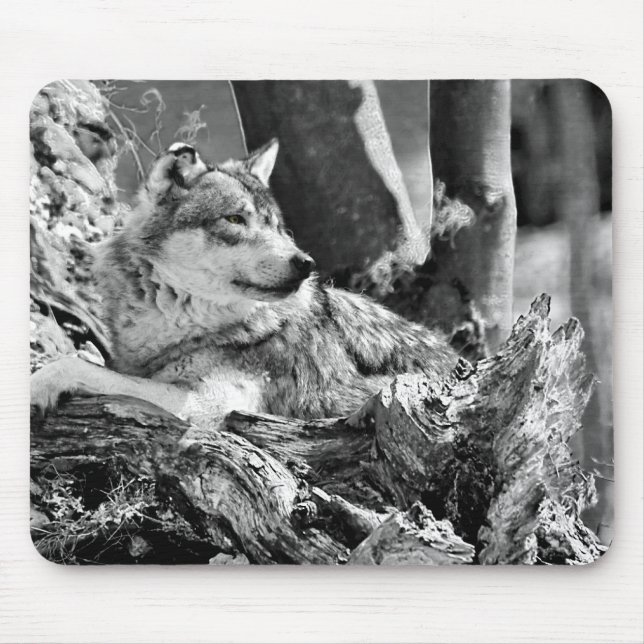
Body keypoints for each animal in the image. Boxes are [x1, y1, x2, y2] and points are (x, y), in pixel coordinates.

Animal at [31, 139, 459, 429]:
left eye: (277, 226)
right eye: (236, 219)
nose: (305, 264)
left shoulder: (205, 405)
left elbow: (78, 365)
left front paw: (40, 384)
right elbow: (92, 363)